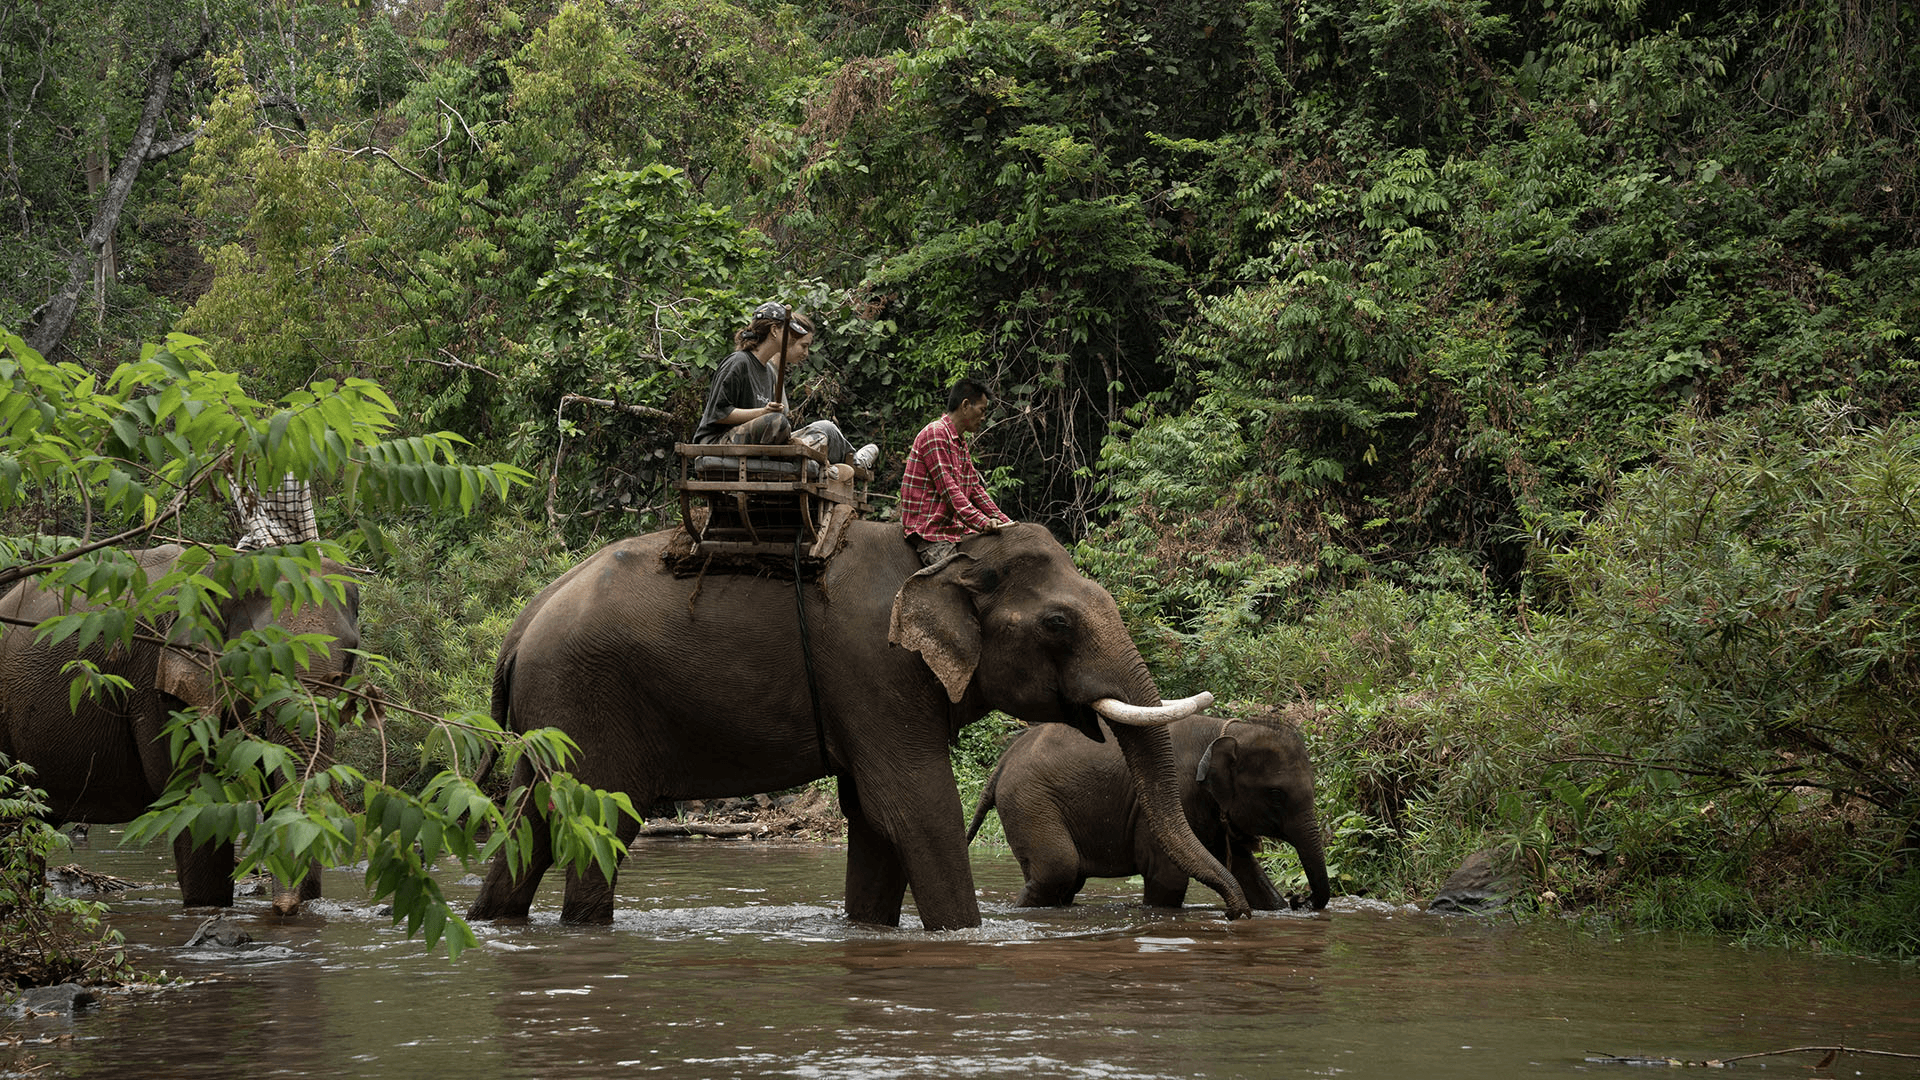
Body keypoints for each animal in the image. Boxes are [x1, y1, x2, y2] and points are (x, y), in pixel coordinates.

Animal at [0, 544, 364, 910]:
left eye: (350, 657)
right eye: (259, 653)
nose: (285, 908)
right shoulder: (162, 686)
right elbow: (200, 801)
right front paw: (209, 909)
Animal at [466, 521, 1251, 930]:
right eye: (1058, 623)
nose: (1239, 914)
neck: (943, 563)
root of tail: (518, 630)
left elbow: (874, 818)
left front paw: (868, 931)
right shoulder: (877, 670)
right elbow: (916, 805)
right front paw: (965, 937)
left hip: (551, 715)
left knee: (530, 821)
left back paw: (491, 922)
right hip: (587, 700)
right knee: (597, 820)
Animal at [967, 709, 1331, 911]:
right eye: (1276, 794)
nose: (1300, 900)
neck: (1223, 730)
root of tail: (1002, 762)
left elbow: (1247, 871)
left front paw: (1276, 906)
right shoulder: (1173, 795)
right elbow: (1167, 877)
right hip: (1029, 801)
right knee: (1058, 870)